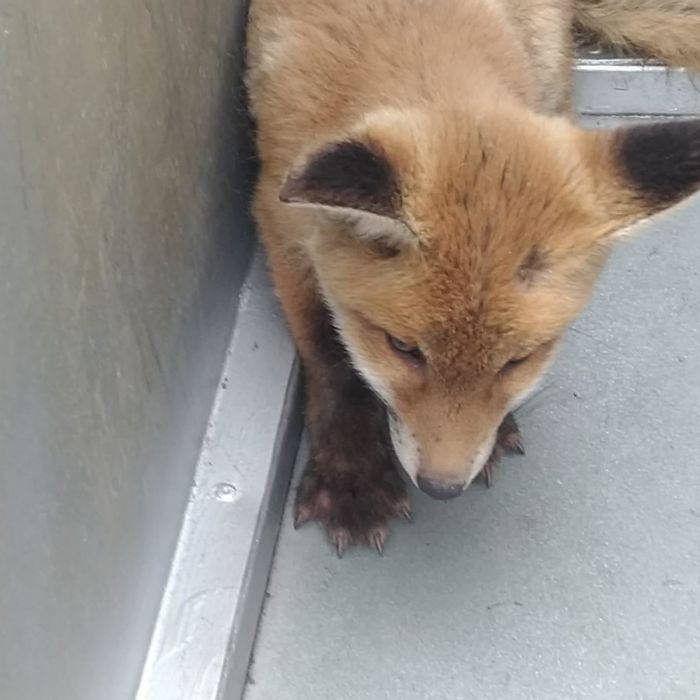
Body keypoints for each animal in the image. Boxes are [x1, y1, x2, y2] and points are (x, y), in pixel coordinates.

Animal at [245, 0, 700, 556]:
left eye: (518, 360)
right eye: (402, 348)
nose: (442, 488)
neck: (415, 41)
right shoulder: (277, 214)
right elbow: (330, 355)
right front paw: (353, 474)